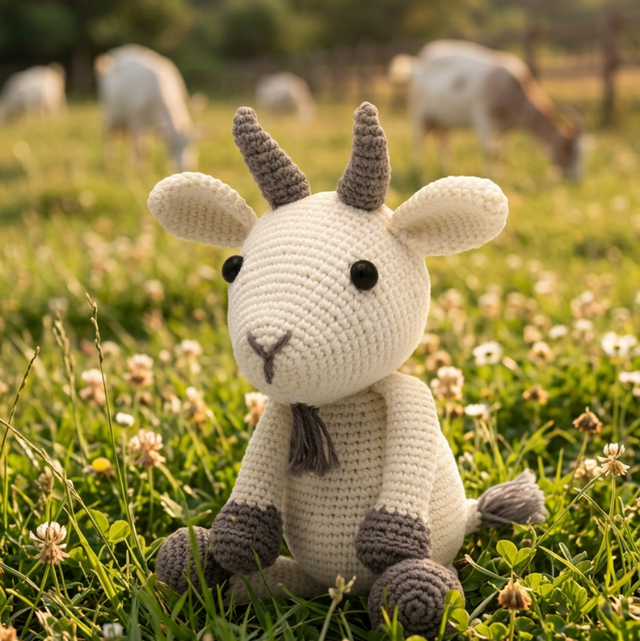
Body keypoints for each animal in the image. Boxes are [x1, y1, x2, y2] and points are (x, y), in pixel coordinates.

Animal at [397, 40, 582, 180]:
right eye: (568, 151)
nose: (576, 179)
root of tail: (417, 67)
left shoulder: (505, 129)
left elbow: (500, 153)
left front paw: (500, 174)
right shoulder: (484, 119)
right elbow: (489, 152)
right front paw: (490, 176)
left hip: (444, 119)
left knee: (443, 142)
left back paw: (445, 169)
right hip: (420, 112)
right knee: (418, 141)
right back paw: (417, 170)